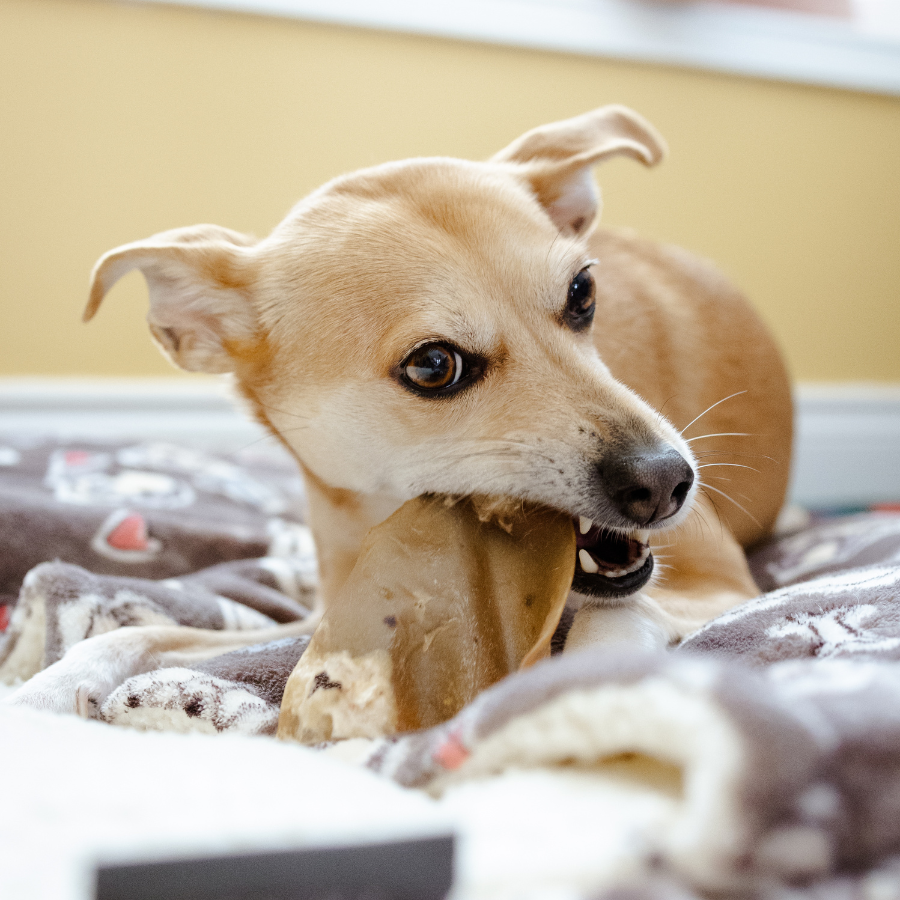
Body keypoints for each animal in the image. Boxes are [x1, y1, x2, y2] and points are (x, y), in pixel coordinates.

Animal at [10, 107, 792, 716]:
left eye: (583, 295)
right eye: (433, 366)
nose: (667, 481)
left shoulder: (719, 585)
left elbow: (622, 611)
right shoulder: (325, 614)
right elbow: (139, 632)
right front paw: (42, 690)